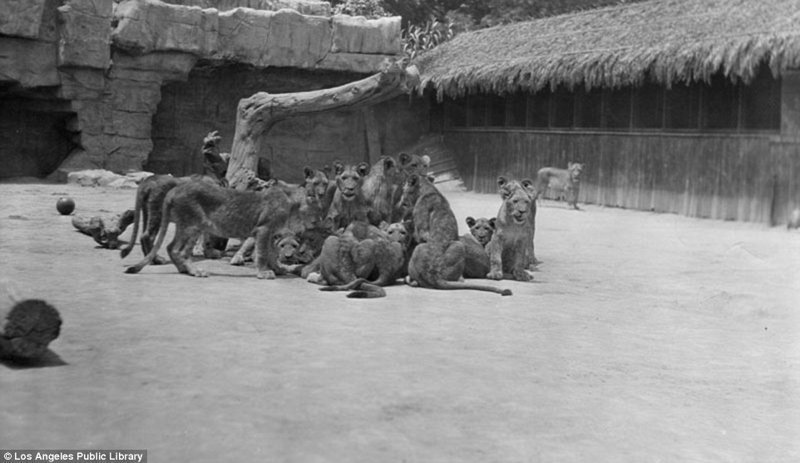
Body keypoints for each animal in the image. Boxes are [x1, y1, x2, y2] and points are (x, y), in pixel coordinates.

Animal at [123, 179, 298, 278]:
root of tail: (174, 190)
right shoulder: (263, 229)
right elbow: (262, 253)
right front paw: (264, 273)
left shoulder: (272, 233)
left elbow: (272, 253)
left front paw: (278, 269)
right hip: (192, 224)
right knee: (177, 250)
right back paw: (195, 271)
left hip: (185, 225)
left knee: (171, 247)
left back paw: (184, 270)